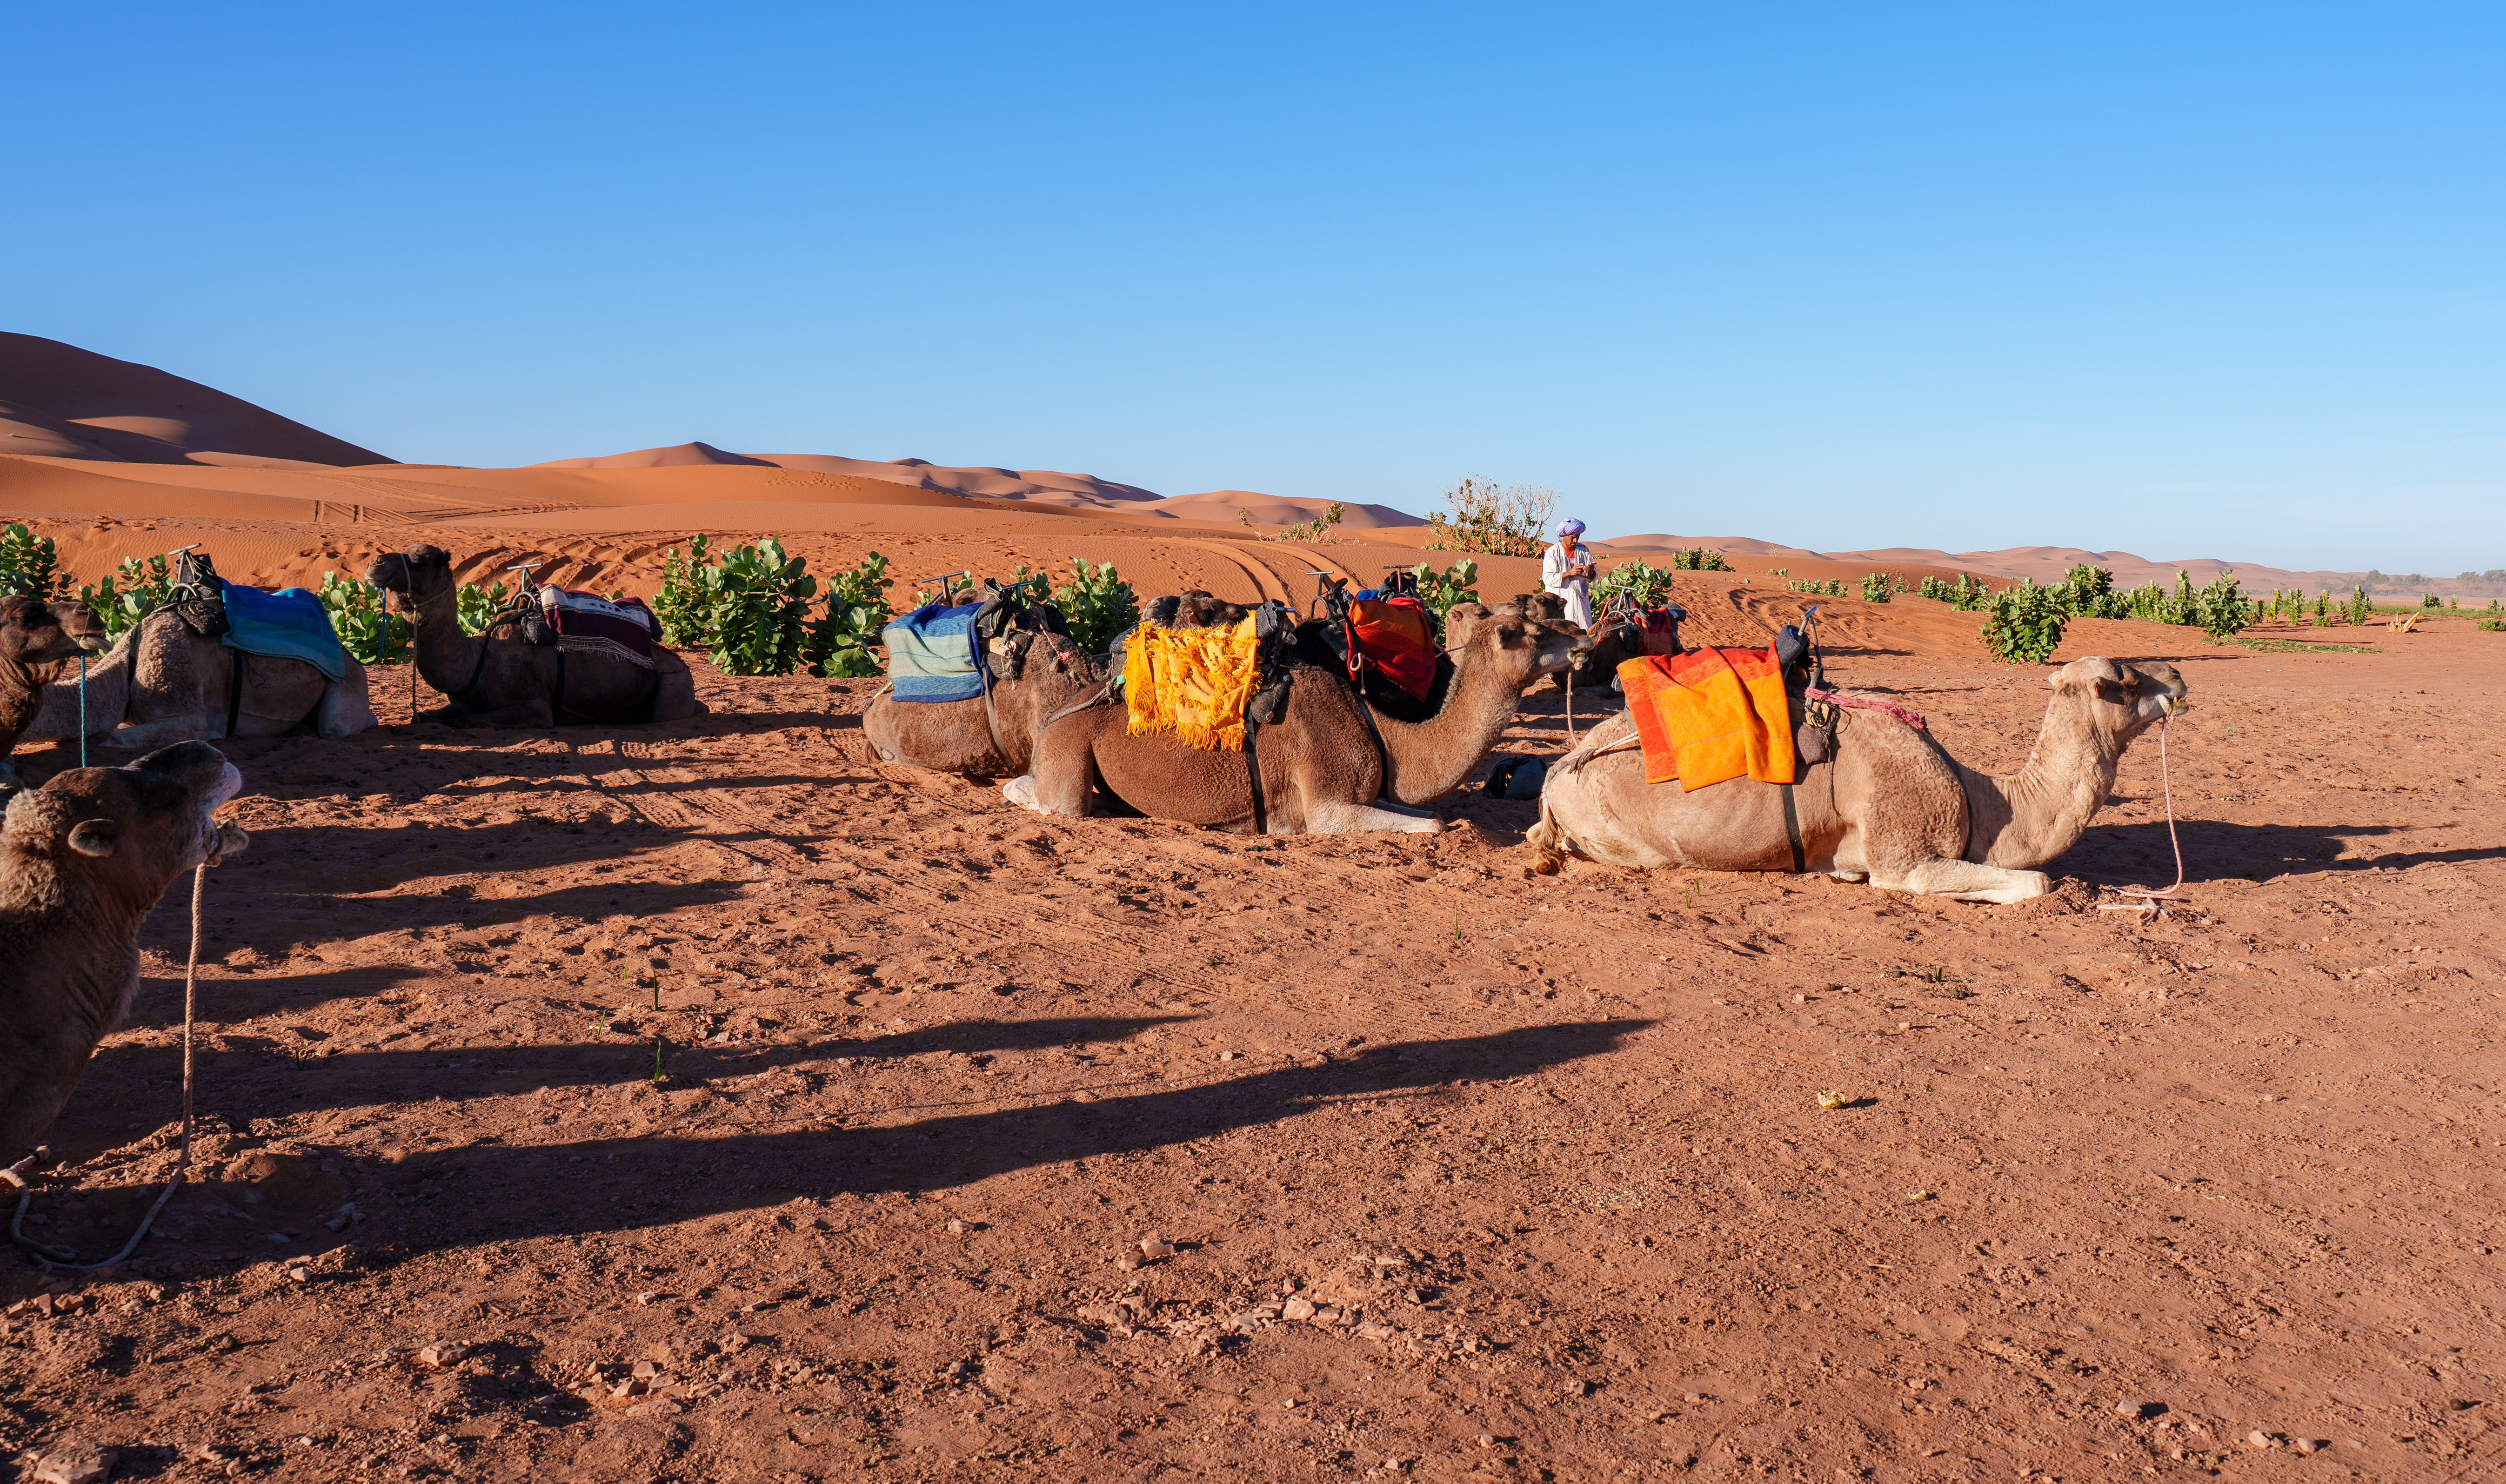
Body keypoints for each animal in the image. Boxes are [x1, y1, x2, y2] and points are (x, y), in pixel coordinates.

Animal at [367, 545, 701, 727]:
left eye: (418, 562)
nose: (375, 564)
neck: (478, 660)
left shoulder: (536, 707)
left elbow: (468, 721)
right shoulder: (465, 702)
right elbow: (424, 716)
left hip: (675, 683)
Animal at [1004, 599, 1586, 835]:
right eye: (1523, 633)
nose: (1582, 637)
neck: (1383, 731)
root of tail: (1055, 716)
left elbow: (1429, 815)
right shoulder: (1326, 802)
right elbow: (1437, 822)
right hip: (1069, 748)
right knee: (1048, 799)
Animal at [1527, 656, 2190, 903]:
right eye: (2123, 680)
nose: (2179, 678)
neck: (1987, 802)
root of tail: (1559, 767)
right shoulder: (1906, 853)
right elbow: (2037, 882)